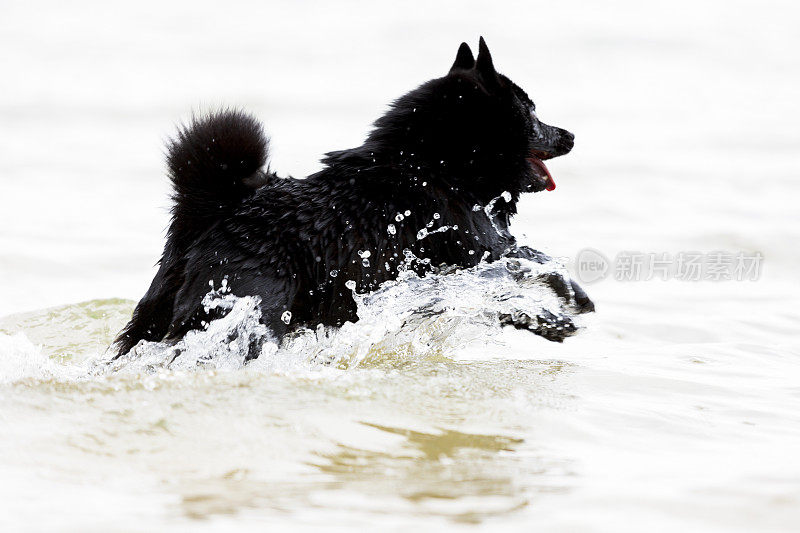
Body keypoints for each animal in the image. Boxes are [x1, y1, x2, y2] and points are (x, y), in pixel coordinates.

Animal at [117, 38, 592, 358]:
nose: (570, 135)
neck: (434, 169)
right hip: (245, 313)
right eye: (531, 111)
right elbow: (531, 266)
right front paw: (563, 311)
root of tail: (216, 208)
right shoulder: (471, 255)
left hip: (156, 317)